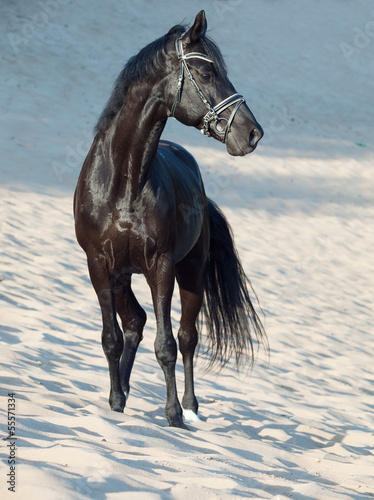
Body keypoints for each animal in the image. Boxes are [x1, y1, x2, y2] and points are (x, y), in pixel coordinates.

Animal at [74, 9, 266, 428]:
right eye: (207, 73)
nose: (253, 133)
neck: (124, 184)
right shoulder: (98, 264)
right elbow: (111, 338)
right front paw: (115, 402)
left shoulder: (160, 266)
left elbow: (168, 345)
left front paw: (174, 415)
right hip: (122, 274)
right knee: (134, 323)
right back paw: (124, 394)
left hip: (190, 271)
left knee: (187, 335)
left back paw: (191, 408)